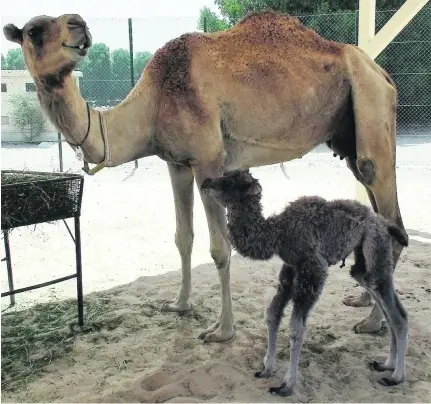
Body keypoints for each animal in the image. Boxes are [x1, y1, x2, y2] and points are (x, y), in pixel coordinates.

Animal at [4, 11, 408, 342]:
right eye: (34, 31)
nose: (79, 25)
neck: (153, 102)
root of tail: (382, 73)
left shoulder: (209, 161)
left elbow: (220, 248)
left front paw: (222, 330)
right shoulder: (177, 163)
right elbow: (183, 238)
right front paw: (179, 305)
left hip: (370, 102)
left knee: (380, 190)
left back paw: (375, 323)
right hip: (348, 132)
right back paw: (363, 299)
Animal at [201, 170, 410, 398]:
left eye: (229, 182)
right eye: (225, 174)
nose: (205, 182)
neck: (278, 234)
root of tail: (383, 224)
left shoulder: (312, 270)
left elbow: (296, 328)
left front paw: (286, 385)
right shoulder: (290, 271)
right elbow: (272, 314)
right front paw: (267, 369)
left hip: (375, 248)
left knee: (397, 315)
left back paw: (396, 376)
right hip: (363, 263)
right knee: (387, 307)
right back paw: (387, 364)